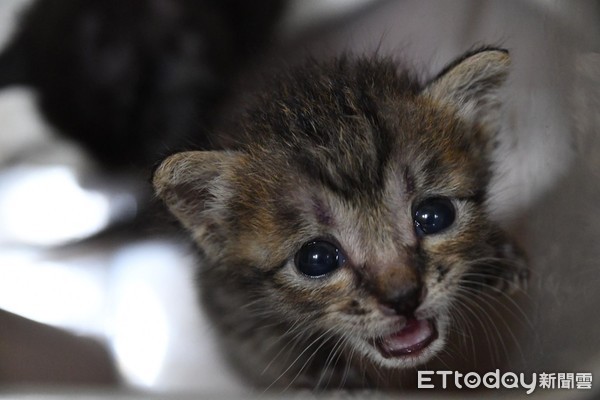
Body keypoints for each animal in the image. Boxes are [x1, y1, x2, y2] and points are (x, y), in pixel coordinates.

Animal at [152, 46, 528, 388]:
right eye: (317, 258)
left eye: (435, 216)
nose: (404, 298)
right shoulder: (230, 308)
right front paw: (336, 382)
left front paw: (496, 259)